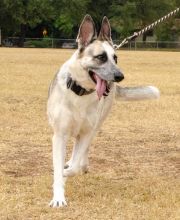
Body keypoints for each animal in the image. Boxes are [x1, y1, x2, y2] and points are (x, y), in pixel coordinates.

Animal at [47, 14, 160, 207]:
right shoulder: (60, 135)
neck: (81, 92)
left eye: (116, 58)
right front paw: (58, 197)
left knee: (81, 153)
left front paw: (68, 172)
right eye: (100, 57)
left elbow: (74, 165)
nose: (120, 77)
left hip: (95, 126)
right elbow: (59, 168)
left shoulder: (87, 132)